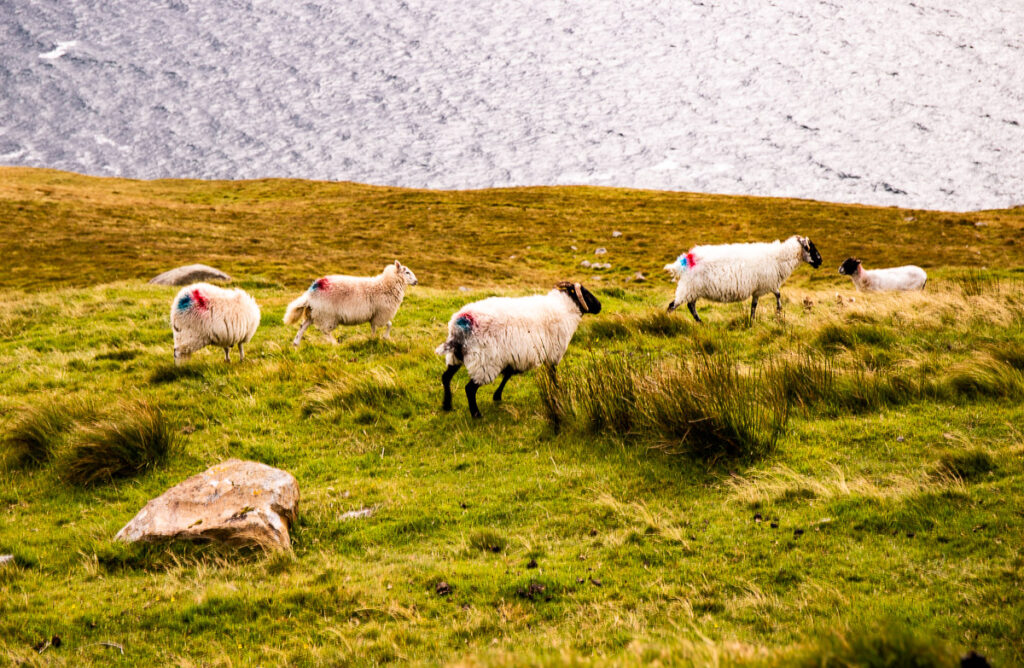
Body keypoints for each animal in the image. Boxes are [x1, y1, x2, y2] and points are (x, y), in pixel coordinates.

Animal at [282, 258, 417, 346]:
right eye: (407, 272)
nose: (416, 281)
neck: (385, 285)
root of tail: (311, 291)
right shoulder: (381, 314)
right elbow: (389, 324)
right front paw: (384, 337)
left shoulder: (374, 315)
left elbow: (374, 328)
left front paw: (373, 339)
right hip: (328, 315)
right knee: (324, 331)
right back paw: (334, 344)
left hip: (315, 313)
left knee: (302, 326)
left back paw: (296, 344)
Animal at [432, 282, 598, 418]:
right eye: (586, 293)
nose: (600, 306)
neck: (565, 308)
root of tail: (462, 322)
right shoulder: (552, 355)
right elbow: (552, 376)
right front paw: (557, 391)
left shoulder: (515, 355)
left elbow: (508, 375)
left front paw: (497, 396)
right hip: (484, 362)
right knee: (470, 389)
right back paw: (476, 414)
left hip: (456, 356)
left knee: (446, 377)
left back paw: (447, 405)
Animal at [663, 233, 823, 321]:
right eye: (811, 248)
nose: (820, 261)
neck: (779, 258)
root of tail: (686, 259)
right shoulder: (767, 283)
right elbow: (778, 294)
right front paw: (778, 310)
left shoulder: (758, 289)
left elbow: (754, 305)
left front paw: (752, 320)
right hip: (689, 288)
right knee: (673, 305)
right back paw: (667, 320)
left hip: (692, 290)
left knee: (690, 306)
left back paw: (700, 322)